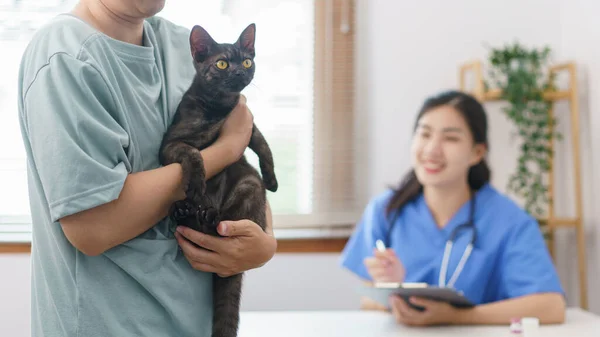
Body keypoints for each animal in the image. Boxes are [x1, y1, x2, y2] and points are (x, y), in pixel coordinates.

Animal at [158, 23, 278, 336]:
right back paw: (188, 209)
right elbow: (195, 154)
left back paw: (207, 214)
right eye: (222, 63)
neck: (219, 108)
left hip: (248, 186)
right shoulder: (171, 144)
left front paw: (273, 180)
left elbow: (263, 144)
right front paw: (197, 183)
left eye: (246, 61)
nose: (239, 73)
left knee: (221, 226)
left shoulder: (247, 126)